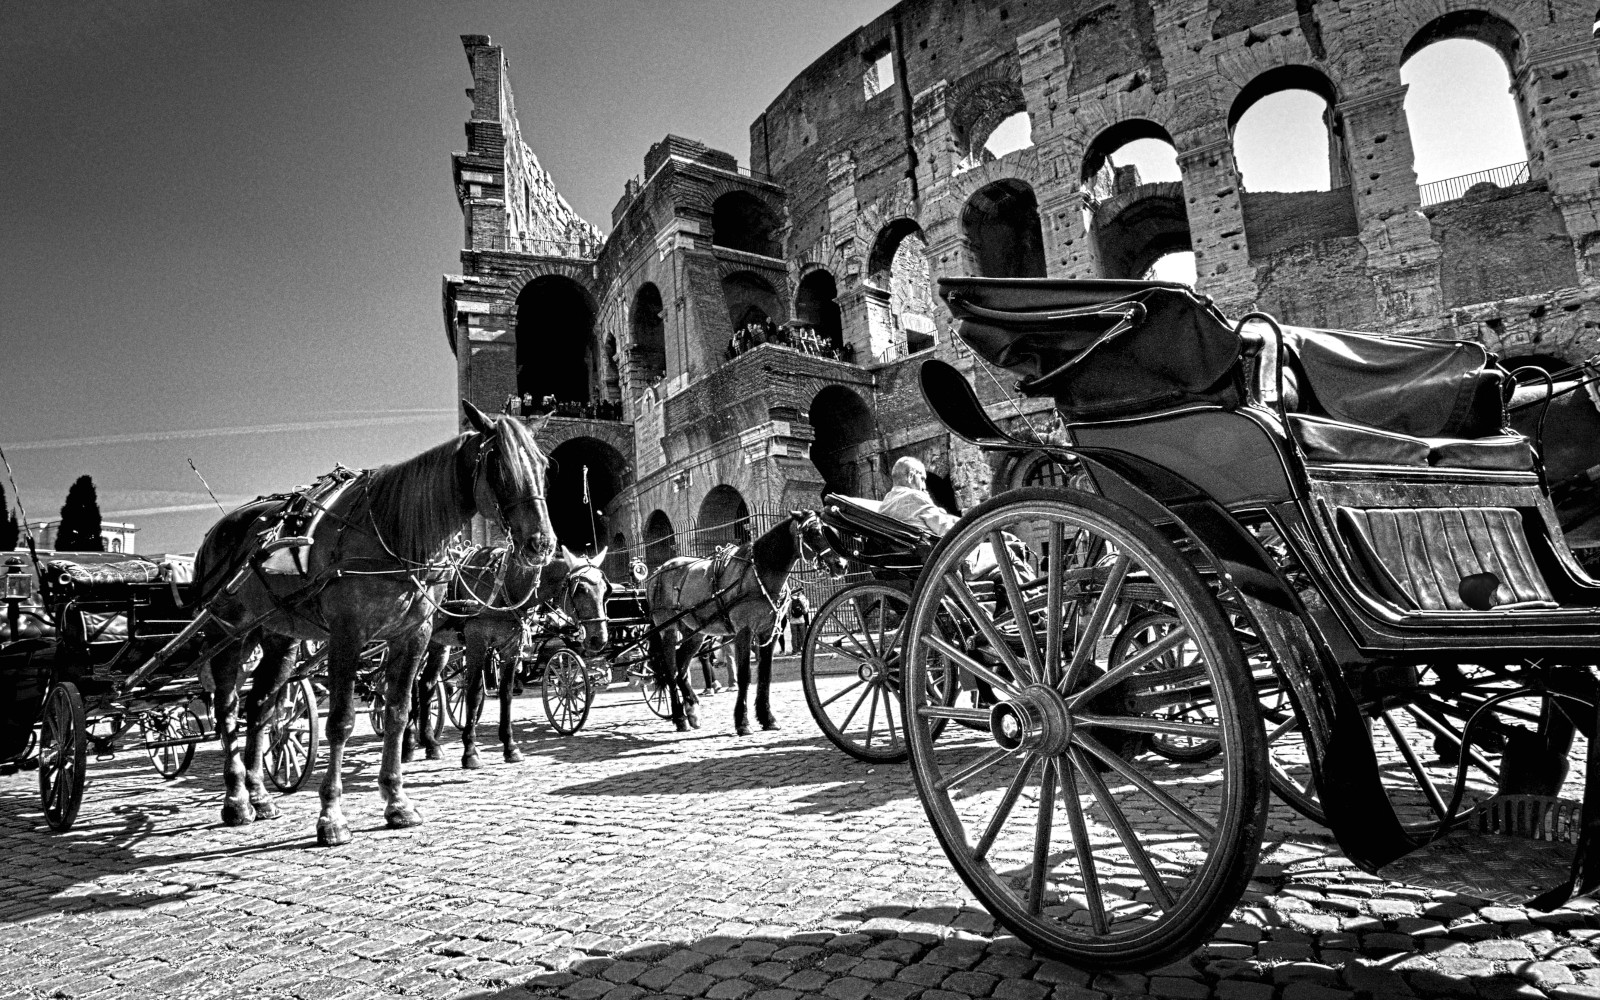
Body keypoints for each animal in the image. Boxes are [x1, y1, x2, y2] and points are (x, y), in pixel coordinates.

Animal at [192, 398, 553, 844]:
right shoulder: (348, 636)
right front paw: (331, 815)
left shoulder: (414, 636)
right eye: (499, 466)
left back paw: (260, 796)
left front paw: (397, 800)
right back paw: (237, 799)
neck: (393, 532)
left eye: (542, 465)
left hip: (278, 636)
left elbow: (398, 711)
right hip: (226, 634)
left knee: (259, 708)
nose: (542, 543)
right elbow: (341, 721)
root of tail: (217, 531)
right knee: (227, 708)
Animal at [409, 547, 608, 764]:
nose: (599, 639)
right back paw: (409, 740)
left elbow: (506, 693)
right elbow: (473, 693)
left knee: (425, 685)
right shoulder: (476, 643)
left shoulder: (511, 647)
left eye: (605, 590)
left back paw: (429, 743)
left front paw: (510, 747)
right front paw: (470, 751)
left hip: (439, 644)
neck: (505, 587)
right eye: (580, 590)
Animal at [646, 512, 851, 729]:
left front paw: (767, 717)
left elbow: (765, 674)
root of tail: (658, 571)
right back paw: (680, 717)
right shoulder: (744, 631)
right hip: (667, 629)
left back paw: (692, 710)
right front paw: (742, 721)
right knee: (670, 670)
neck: (759, 573)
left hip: (696, 633)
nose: (842, 564)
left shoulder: (769, 632)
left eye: (830, 530)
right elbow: (744, 675)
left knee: (682, 669)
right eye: (813, 532)